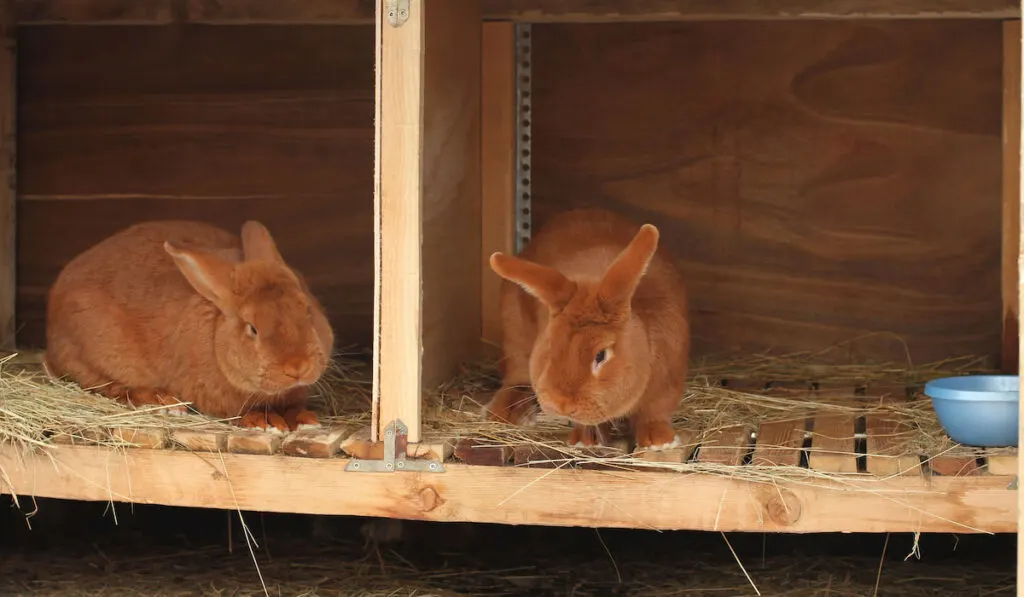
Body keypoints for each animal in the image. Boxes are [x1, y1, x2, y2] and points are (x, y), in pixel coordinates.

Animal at [45, 222, 335, 432]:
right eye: (252, 328)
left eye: (307, 311)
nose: (297, 367)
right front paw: (265, 422)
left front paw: (306, 420)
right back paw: (164, 402)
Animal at [485, 207, 688, 450]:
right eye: (550, 346)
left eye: (600, 355)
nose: (562, 404)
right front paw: (587, 439)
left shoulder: (668, 380)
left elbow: (655, 412)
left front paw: (659, 441)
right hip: (514, 332)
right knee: (516, 376)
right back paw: (505, 412)